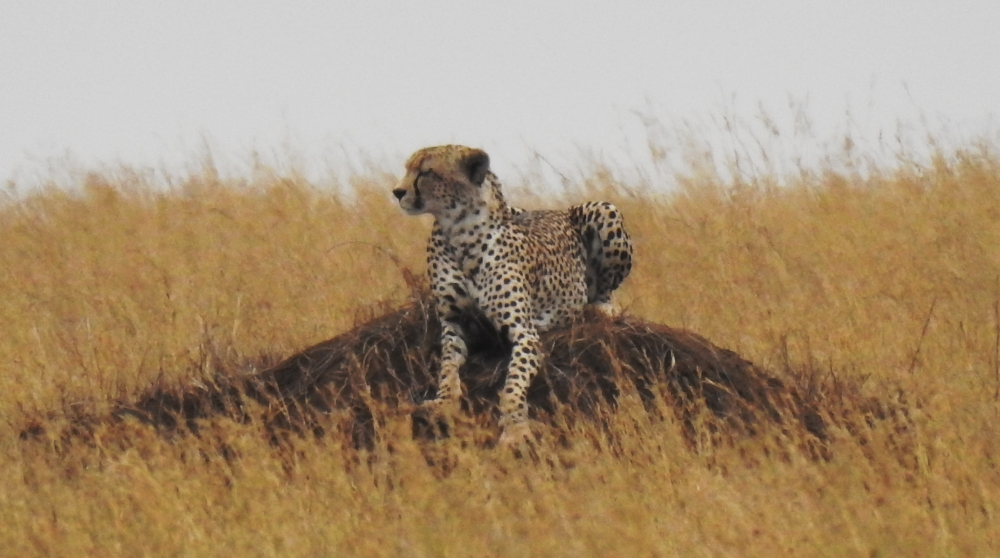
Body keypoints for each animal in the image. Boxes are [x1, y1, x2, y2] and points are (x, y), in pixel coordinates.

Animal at [392, 147, 632, 448]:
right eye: (408, 169)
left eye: (426, 172)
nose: (397, 192)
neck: (459, 233)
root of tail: (558, 211)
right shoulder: (453, 323)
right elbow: (447, 365)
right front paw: (444, 400)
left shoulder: (524, 332)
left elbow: (512, 383)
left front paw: (515, 428)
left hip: (603, 209)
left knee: (602, 293)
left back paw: (602, 310)